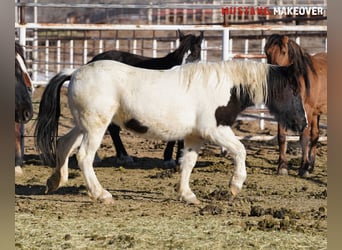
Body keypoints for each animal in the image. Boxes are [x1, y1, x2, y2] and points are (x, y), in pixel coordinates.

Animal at [35, 59, 308, 204]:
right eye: (294, 90)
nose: (303, 123)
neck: (224, 87)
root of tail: (75, 72)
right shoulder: (215, 130)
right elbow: (240, 151)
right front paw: (235, 185)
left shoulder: (194, 136)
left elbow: (187, 163)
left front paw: (187, 195)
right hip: (95, 128)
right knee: (84, 157)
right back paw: (101, 194)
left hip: (84, 126)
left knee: (64, 144)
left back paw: (54, 182)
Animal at [264, 34, 326, 177]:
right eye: (266, 52)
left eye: (283, 52)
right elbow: (281, 137)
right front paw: (282, 167)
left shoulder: (307, 111)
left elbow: (304, 137)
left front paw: (303, 168)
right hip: (317, 112)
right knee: (315, 134)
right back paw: (312, 166)